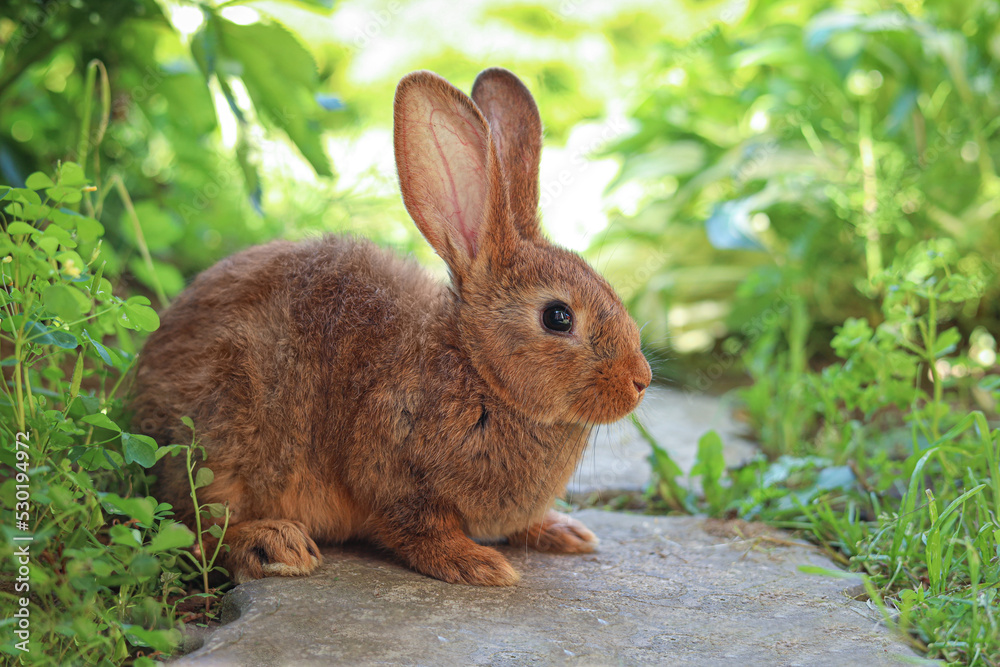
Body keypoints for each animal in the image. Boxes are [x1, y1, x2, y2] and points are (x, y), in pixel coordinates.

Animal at [131, 67, 652, 586]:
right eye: (558, 317)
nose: (640, 381)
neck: (478, 370)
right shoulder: (393, 465)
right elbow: (418, 528)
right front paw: (478, 564)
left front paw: (563, 532)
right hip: (223, 429)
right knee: (192, 526)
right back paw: (274, 544)